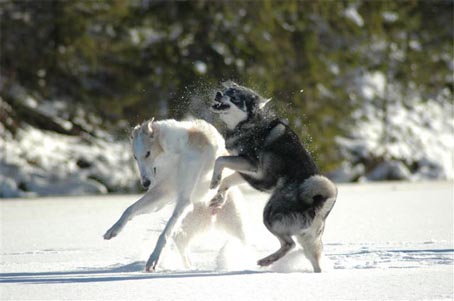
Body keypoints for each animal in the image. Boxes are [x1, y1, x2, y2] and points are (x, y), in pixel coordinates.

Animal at [103, 118, 245, 270]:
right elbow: (129, 209)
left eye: (147, 153)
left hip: (236, 226)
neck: (177, 153)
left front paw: (153, 259)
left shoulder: (184, 200)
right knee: (180, 240)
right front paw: (113, 230)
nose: (145, 184)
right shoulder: (163, 192)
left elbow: (164, 233)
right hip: (193, 222)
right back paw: (189, 266)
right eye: (135, 157)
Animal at [210, 82, 336, 272]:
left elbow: (220, 160)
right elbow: (228, 180)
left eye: (234, 97)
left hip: (269, 215)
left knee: (289, 244)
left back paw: (266, 261)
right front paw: (218, 198)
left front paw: (214, 181)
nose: (218, 93)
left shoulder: (251, 165)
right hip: (309, 241)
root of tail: (318, 203)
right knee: (312, 260)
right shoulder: (250, 172)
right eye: (225, 91)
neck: (249, 124)